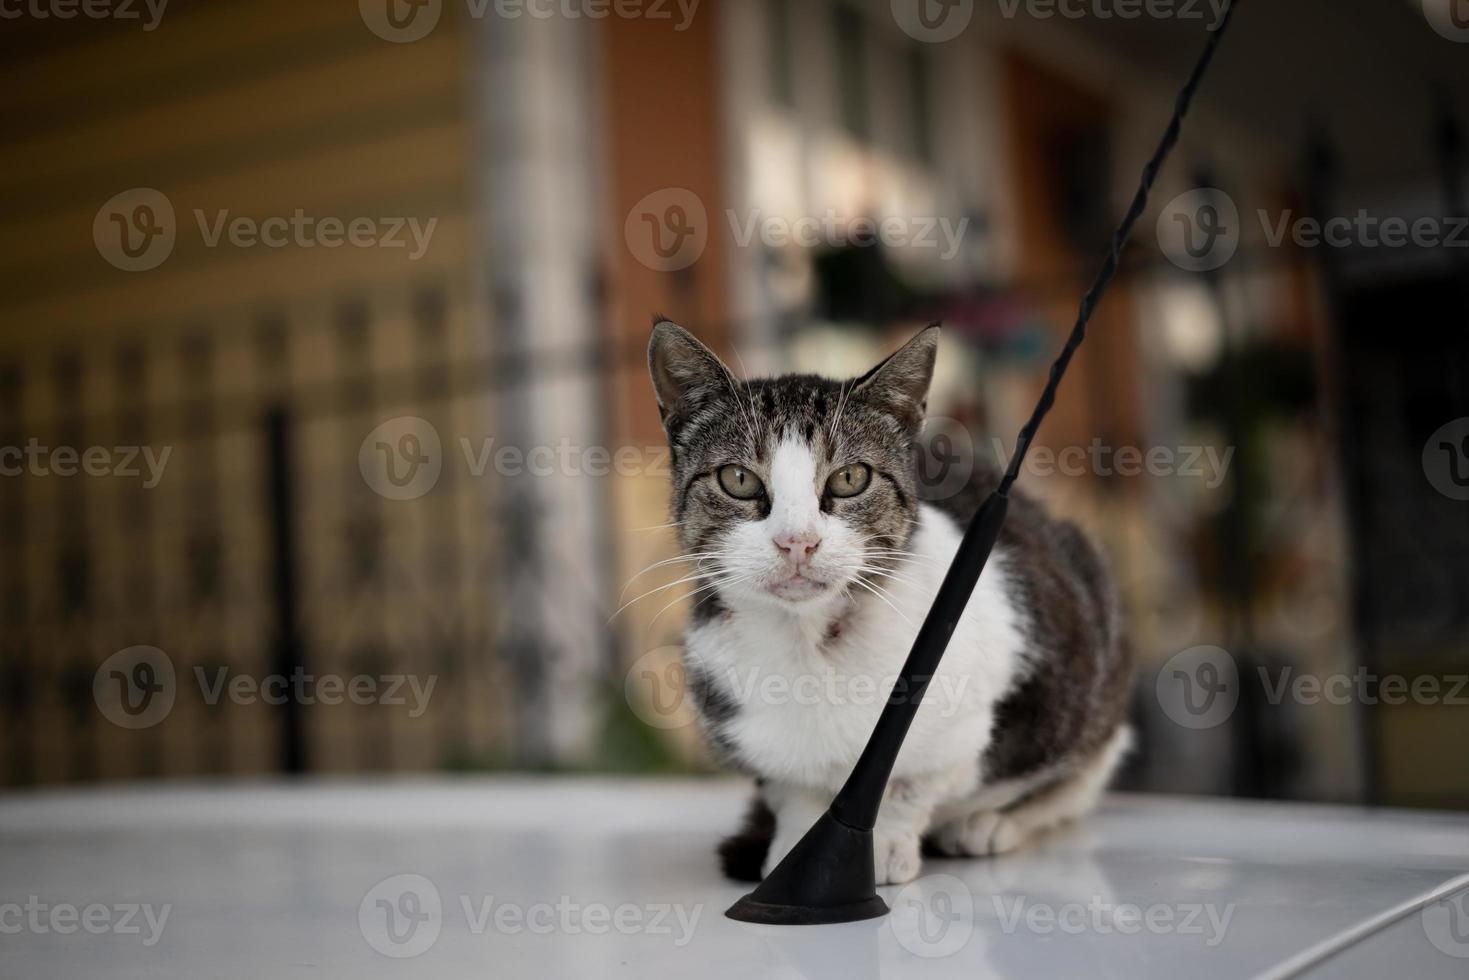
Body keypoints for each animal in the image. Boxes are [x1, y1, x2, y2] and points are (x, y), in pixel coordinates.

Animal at [646, 321, 1134, 887]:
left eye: (850, 478)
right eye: (738, 479)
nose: (798, 542)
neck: (809, 640)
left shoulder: (973, 712)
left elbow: (910, 780)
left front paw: (878, 846)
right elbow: (793, 788)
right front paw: (796, 847)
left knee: (1078, 776)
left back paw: (991, 823)